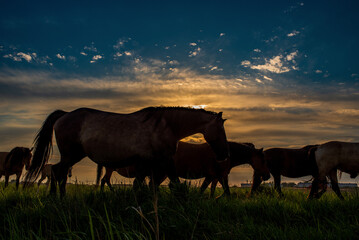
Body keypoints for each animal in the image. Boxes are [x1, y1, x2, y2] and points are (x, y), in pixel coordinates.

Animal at [26, 107, 231, 197]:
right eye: (221, 130)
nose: (225, 155)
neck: (165, 126)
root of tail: (64, 115)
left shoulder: (148, 164)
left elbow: (142, 185)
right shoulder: (162, 161)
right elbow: (175, 184)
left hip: (72, 156)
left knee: (58, 172)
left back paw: (58, 197)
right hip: (71, 155)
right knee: (57, 172)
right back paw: (57, 198)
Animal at [96, 141, 270, 197]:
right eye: (262, 159)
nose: (267, 176)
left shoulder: (214, 176)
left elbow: (209, 190)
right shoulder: (218, 175)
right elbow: (224, 191)